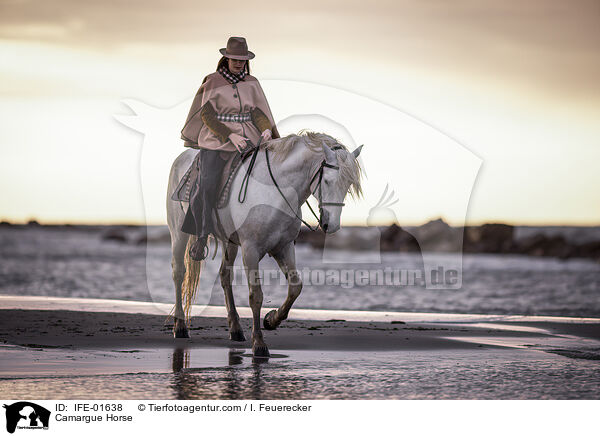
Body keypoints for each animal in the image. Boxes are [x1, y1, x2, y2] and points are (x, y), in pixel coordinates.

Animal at [166, 133, 364, 358]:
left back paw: (235, 329)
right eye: (329, 181)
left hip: (229, 242)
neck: (277, 193)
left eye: (348, 185)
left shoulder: (284, 247)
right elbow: (256, 296)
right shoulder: (251, 250)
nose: (332, 226)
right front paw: (259, 343)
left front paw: (271, 320)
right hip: (178, 232)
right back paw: (180, 326)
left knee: (225, 277)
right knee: (179, 272)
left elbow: (295, 287)